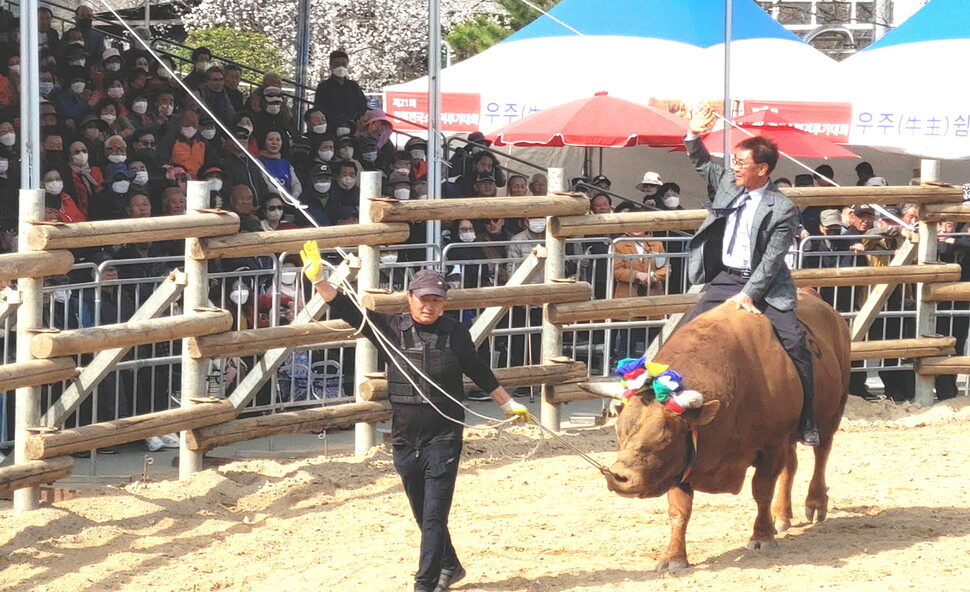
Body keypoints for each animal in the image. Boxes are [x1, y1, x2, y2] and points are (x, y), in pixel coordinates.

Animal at [604, 290, 848, 568]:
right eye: (619, 432)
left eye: (664, 437)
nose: (618, 476)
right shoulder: (683, 461)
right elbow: (679, 509)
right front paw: (674, 556)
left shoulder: (771, 445)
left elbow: (762, 491)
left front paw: (761, 536)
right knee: (791, 467)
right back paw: (782, 515)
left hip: (830, 414)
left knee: (821, 454)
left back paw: (815, 503)